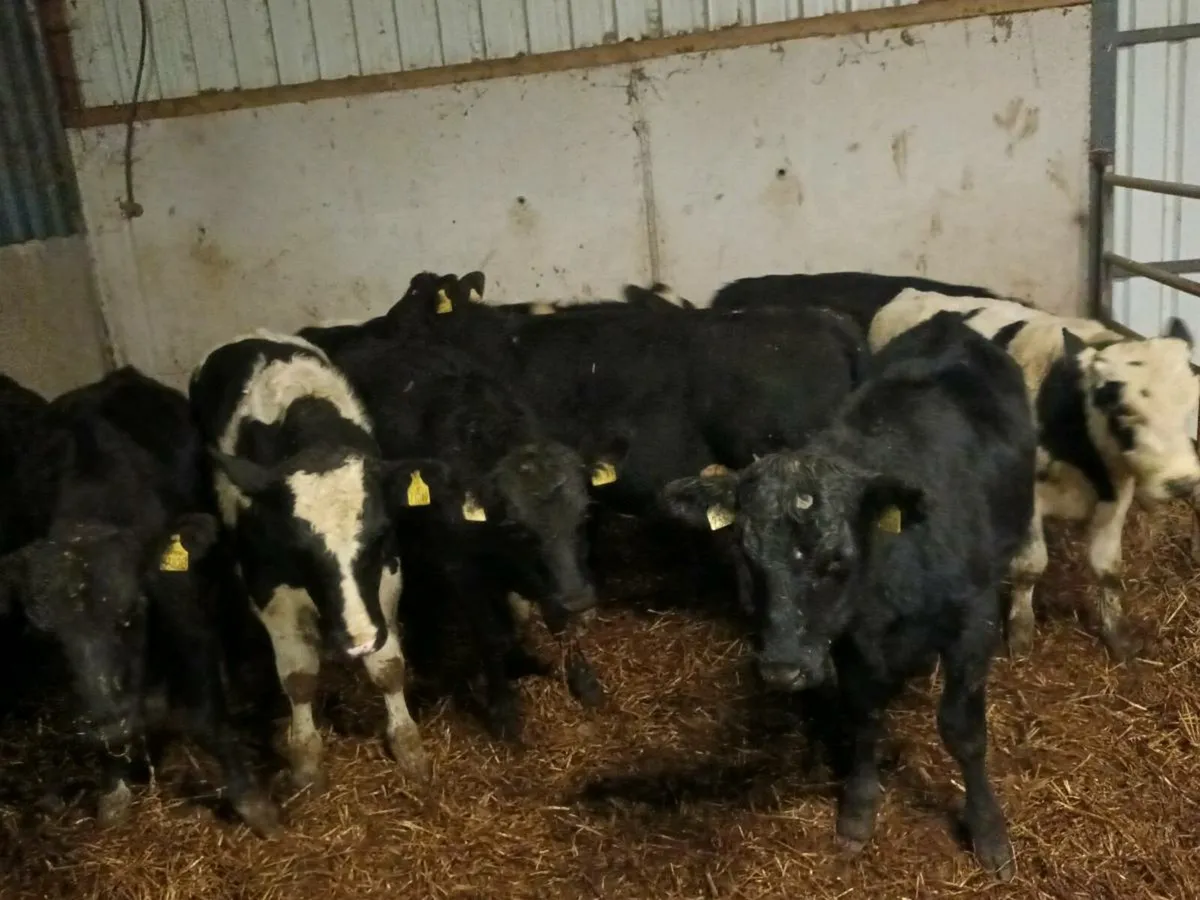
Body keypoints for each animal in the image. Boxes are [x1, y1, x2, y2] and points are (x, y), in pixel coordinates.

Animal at [0, 367, 279, 835]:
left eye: (129, 614)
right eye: (50, 640)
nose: (110, 728)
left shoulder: (185, 612)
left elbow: (205, 715)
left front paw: (251, 801)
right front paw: (113, 789)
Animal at [188, 331, 460, 789]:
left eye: (380, 534)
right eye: (298, 549)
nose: (358, 639)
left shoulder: (386, 577)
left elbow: (388, 666)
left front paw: (407, 744)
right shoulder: (268, 586)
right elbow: (299, 677)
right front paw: (305, 758)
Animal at [295, 323, 611, 742]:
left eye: (586, 513)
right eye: (518, 528)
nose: (580, 599)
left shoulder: (556, 578)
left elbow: (560, 623)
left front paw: (584, 681)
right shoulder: (464, 570)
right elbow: (492, 637)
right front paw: (503, 712)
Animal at [660, 311, 1037, 880]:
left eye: (836, 559)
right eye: (747, 556)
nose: (782, 669)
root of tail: (952, 323)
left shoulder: (974, 620)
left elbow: (963, 730)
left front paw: (988, 831)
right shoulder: (847, 638)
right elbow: (863, 712)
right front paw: (859, 808)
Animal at [869, 290, 1200, 660]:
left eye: (1191, 406)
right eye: (1121, 408)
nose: (1182, 482)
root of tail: (913, 293)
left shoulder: (1116, 496)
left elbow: (1108, 569)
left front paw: (1117, 633)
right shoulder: (1027, 495)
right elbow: (1030, 566)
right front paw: (1020, 629)